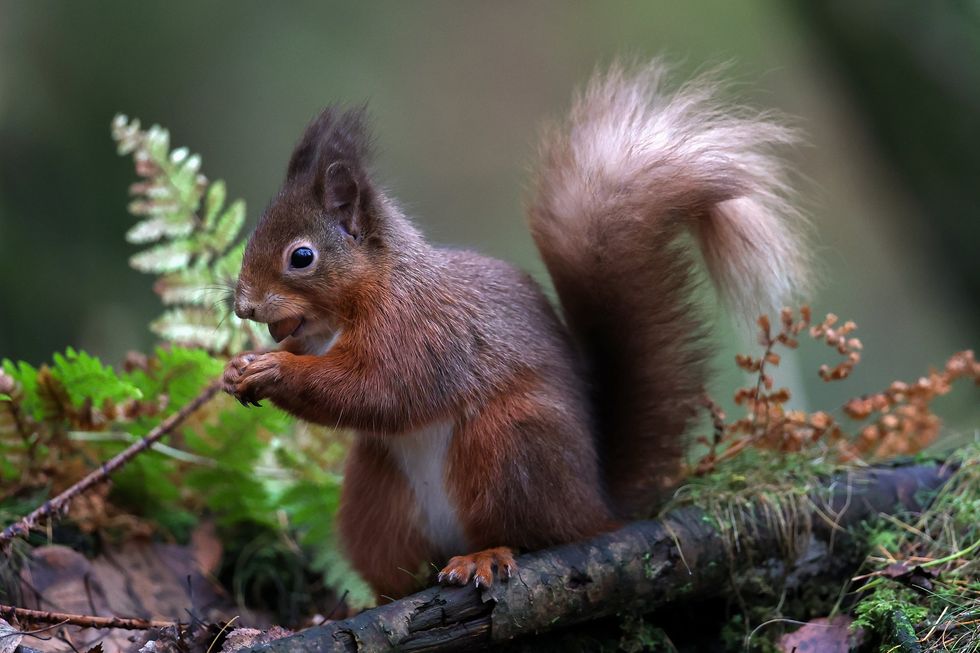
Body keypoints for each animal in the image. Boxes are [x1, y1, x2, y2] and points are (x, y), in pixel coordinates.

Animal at [222, 61, 807, 600]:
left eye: (302, 257)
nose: (244, 306)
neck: (356, 303)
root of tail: (597, 502)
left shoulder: (421, 332)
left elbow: (376, 389)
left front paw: (274, 369)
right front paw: (236, 369)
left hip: (508, 445)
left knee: (533, 535)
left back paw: (483, 555)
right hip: (376, 496)